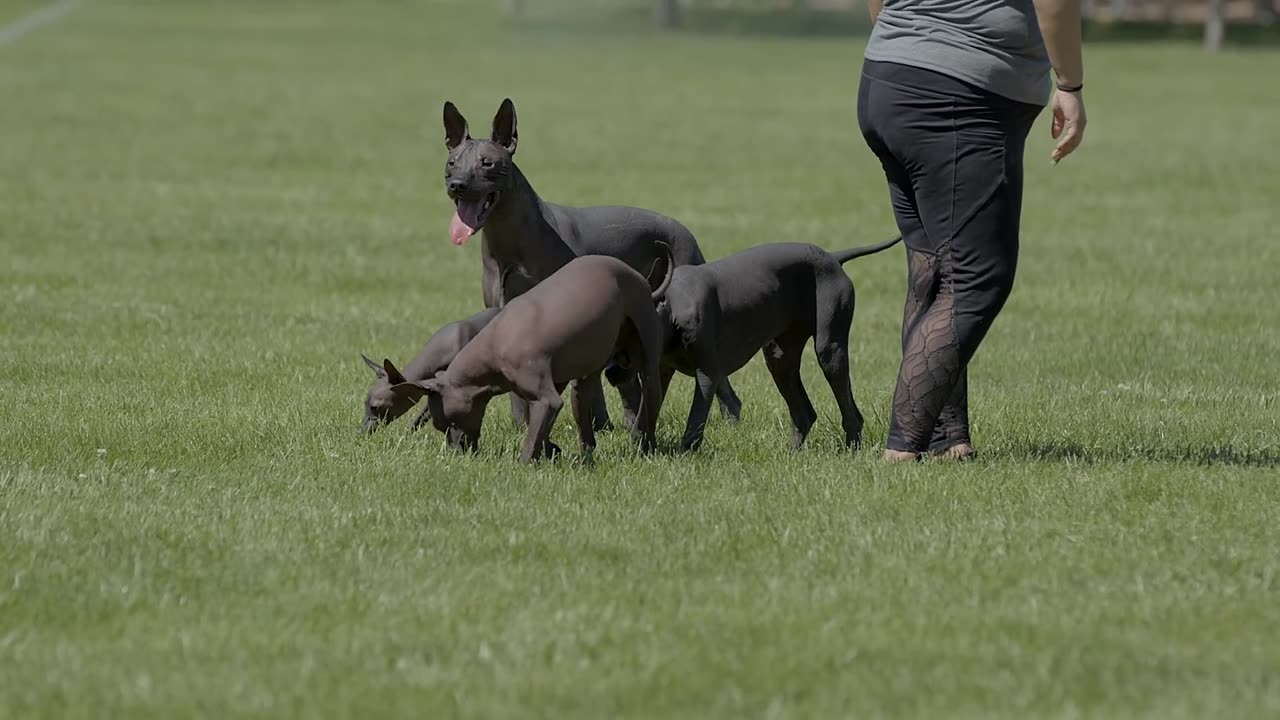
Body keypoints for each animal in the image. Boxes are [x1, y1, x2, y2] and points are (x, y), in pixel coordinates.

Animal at [609, 235, 901, 448]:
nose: (611, 371)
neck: (674, 308)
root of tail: (832, 256)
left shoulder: (707, 374)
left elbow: (694, 422)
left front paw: (685, 454)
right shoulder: (660, 370)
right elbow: (646, 412)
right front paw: (638, 447)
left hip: (830, 351)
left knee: (850, 412)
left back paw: (852, 449)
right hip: (779, 358)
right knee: (804, 413)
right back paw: (791, 454)